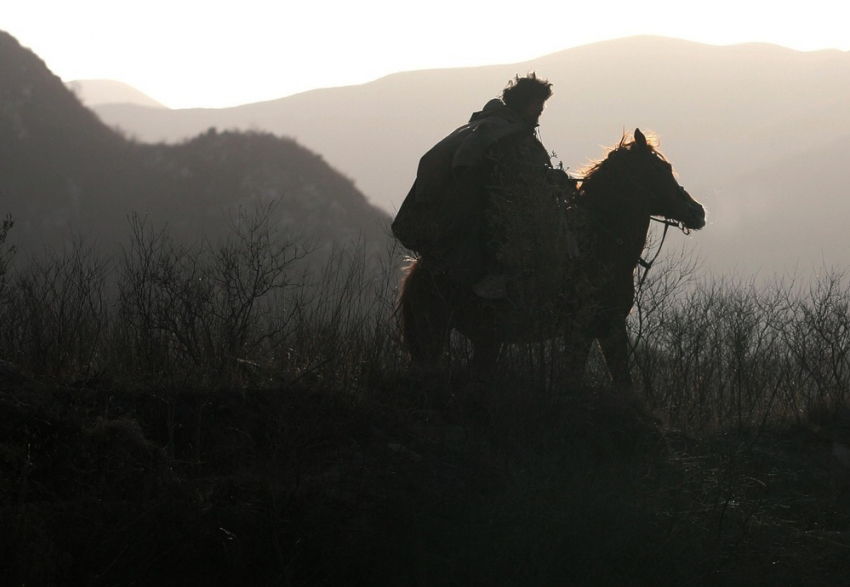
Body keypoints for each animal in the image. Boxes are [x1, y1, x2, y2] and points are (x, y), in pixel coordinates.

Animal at [394, 131, 704, 392]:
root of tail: (419, 270)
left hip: (486, 340)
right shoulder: (584, 329)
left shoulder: (608, 327)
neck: (599, 247)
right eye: (663, 169)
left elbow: (623, 383)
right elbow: (576, 379)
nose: (697, 211)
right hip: (433, 332)